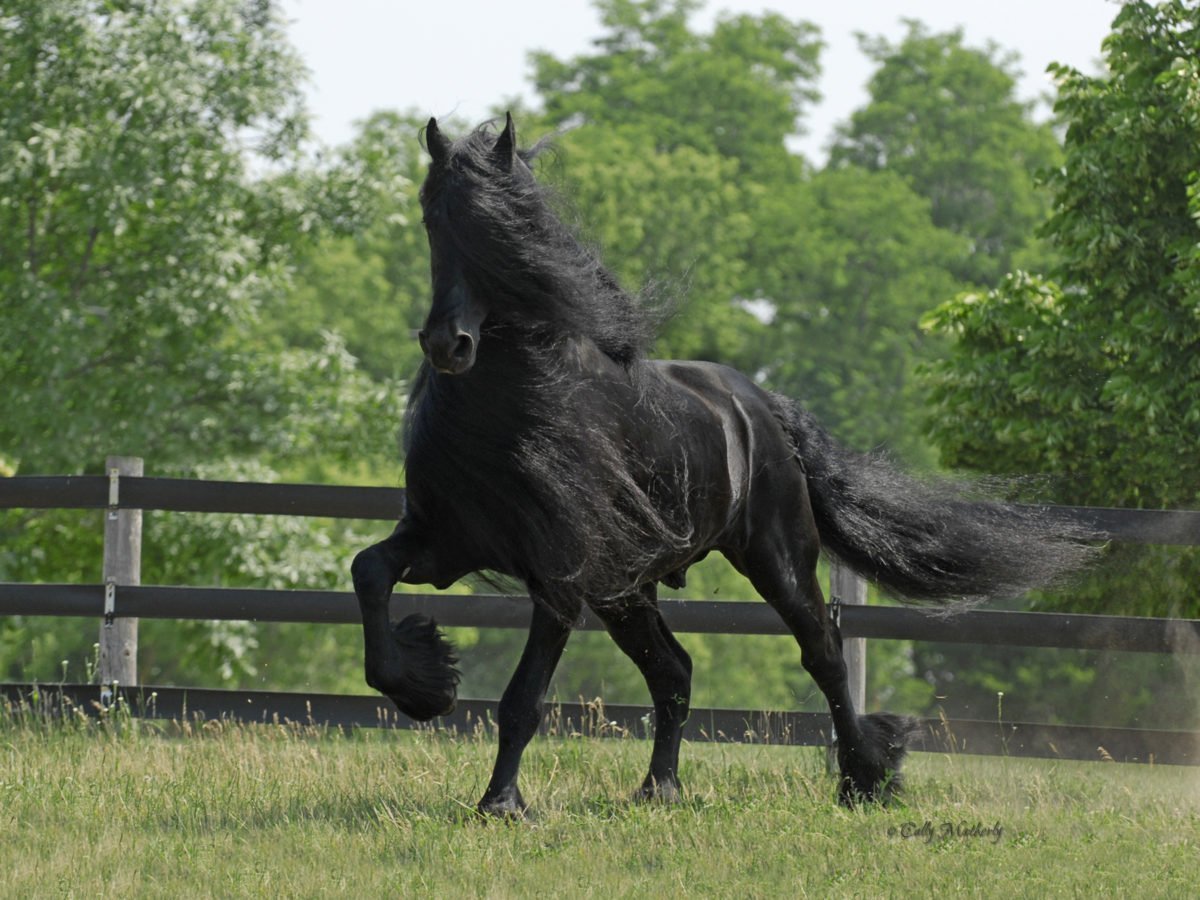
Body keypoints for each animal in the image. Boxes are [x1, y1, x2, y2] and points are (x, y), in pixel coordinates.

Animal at [350, 114, 1094, 815]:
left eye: (499, 228)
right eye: (433, 219)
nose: (448, 344)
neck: (511, 405)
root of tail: (761, 405)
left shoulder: (557, 572)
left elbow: (523, 699)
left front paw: (501, 804)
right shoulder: (447, 539)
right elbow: (369, 572)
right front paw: (426, 682)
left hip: (775, 557)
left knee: (821, 654)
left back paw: (864, 778)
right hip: (627, 590)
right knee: (674, 672)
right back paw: (661, 789)